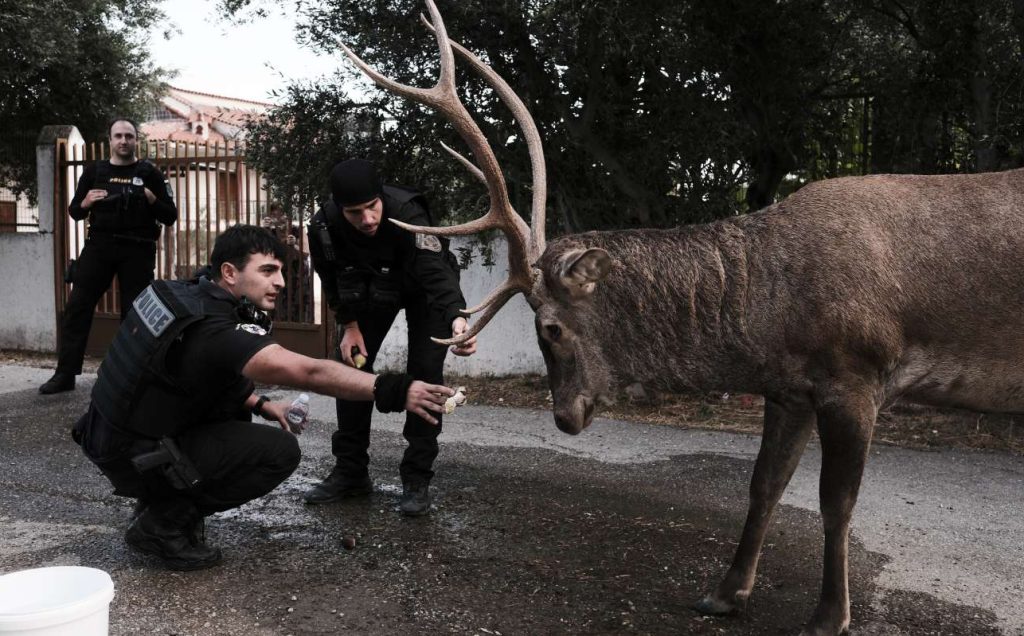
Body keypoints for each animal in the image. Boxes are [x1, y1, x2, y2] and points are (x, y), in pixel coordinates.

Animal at [339, 2, 1024, 630]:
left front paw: (829, 617)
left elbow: (837, 503)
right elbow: (763, 485)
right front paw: (723, 594)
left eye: (551, 327)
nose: (564, 418)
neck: (773, 314)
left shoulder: (856, 375)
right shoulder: (791, 388)